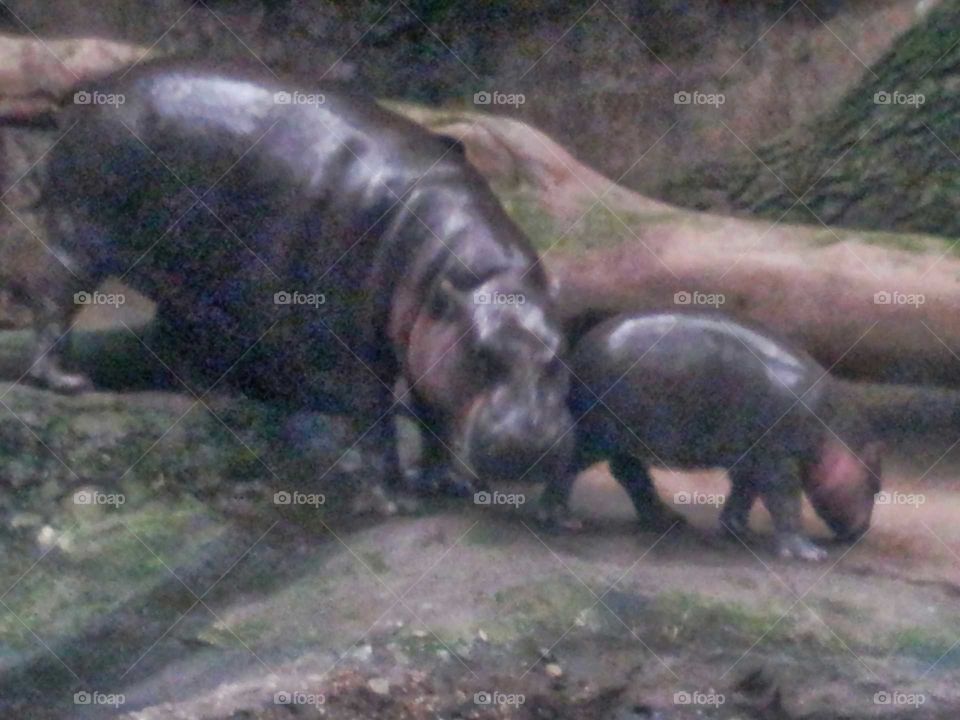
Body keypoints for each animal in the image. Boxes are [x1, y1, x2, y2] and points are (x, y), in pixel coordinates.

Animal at [21, 60, 573, 505]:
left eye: (560, 357)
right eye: (481, 354)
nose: (531, 445)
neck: (471, 272)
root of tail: (87, 91)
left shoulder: (429, 333)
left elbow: (431, 407)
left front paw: (448, 483)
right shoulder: (360, 339)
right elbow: (374, 415)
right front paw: (395, 499)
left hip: (192, 271)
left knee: (177, 328)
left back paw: (223, 397)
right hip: (82, 238)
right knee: (53, 301)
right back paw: (68, 381)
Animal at [542, 311, 881, 560]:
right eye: (876, 487)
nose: (863, 532)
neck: (834, 433)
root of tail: (578, 353)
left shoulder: (753, 456)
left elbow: (744, 491)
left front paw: (738, 530)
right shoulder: (778, 460)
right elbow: (785, 502)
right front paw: (809, 553)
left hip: (626, 436)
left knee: (629, 472)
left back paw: (668, 519)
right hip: (596, 434)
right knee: (568, 463)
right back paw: (564, 521)